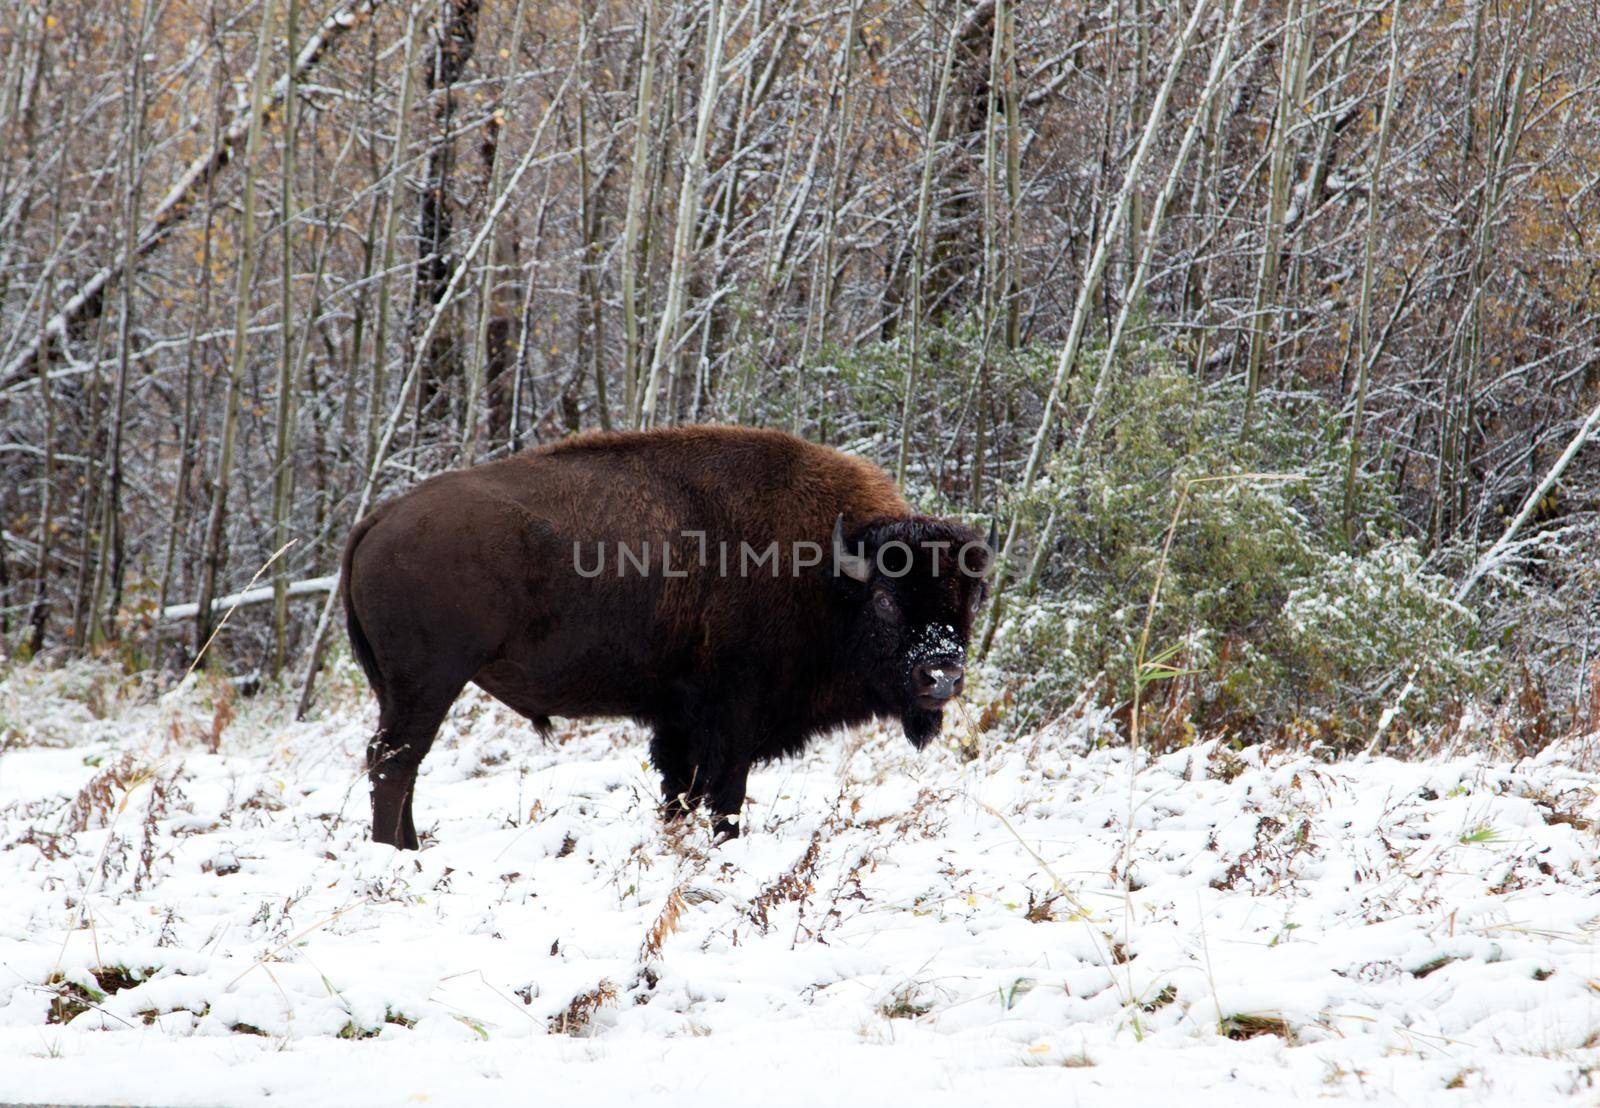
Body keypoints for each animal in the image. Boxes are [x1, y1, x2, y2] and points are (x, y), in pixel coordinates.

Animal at [340, 422, 985, 845]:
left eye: (967, 598)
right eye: (885, 600)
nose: (941, 675)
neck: (824, 572)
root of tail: (380, 519)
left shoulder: (679, 720)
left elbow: (679, 790)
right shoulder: (734, 713)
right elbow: (725, 794)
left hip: (401, 690)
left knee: (398, 761)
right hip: (428, 683)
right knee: (394, 761)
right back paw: (396, 852)